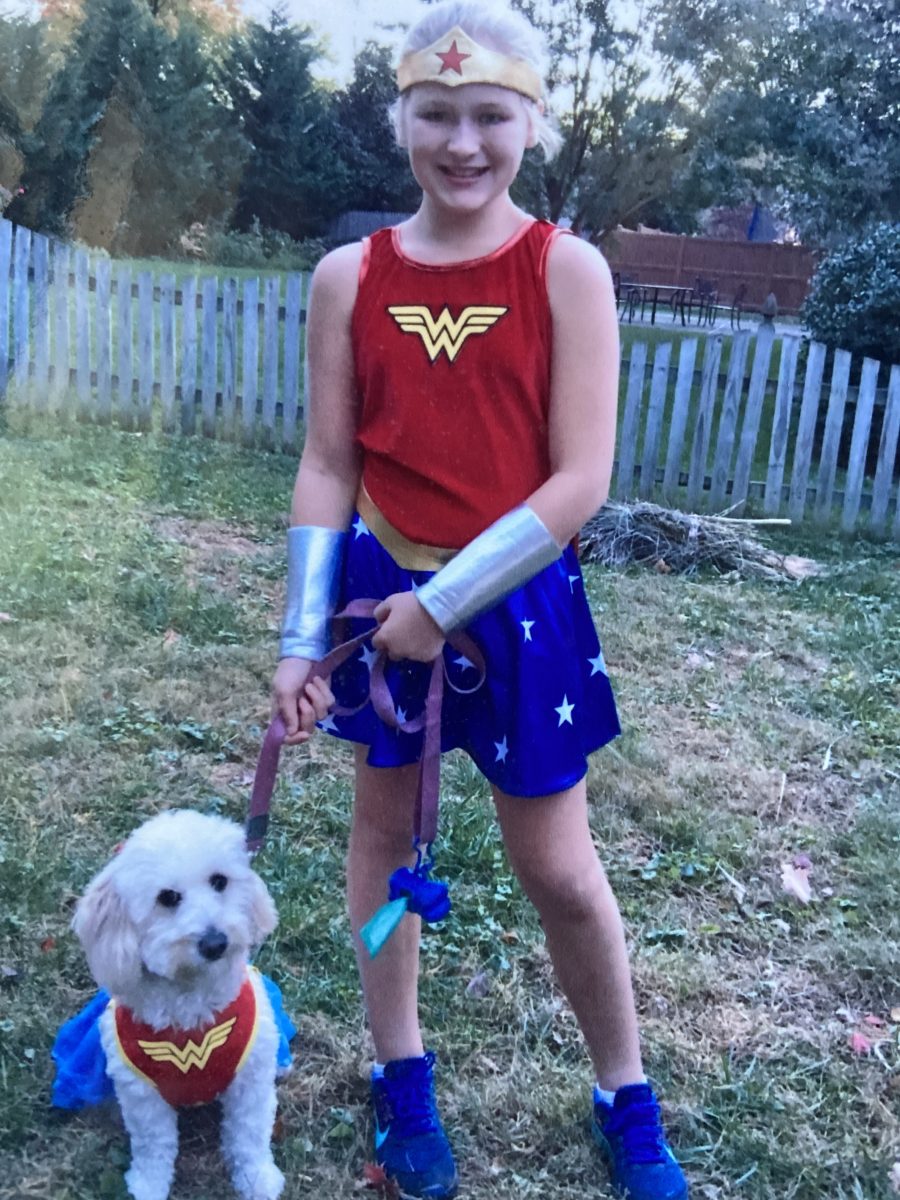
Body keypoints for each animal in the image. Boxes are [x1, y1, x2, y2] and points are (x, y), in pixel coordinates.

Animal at [74, 811, 292, 1200]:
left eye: (220, 881)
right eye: (167, 898)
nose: (215, 942)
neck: (192, 1008)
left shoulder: (250, 1084)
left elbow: (249, 1136)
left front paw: (258, 1179)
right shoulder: (141, 1096)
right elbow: (153, 1146)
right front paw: (147, 1186)